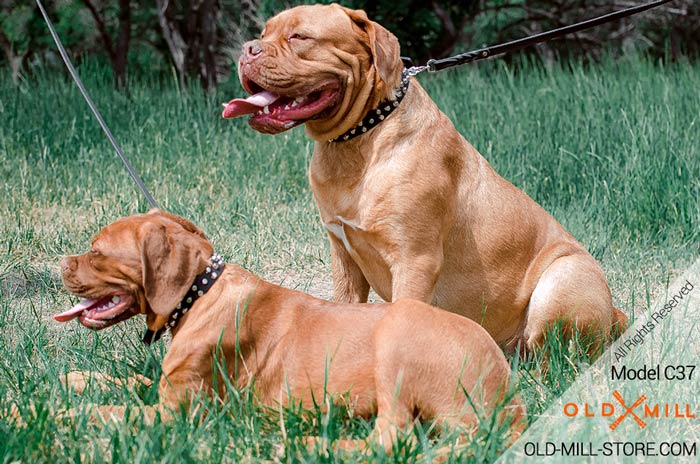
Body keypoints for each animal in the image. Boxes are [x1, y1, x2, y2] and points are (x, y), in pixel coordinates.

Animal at [56, 212, 524, 452]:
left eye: (96, 253)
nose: (61, 264)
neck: (200, 292)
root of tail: (507, 399)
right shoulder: (167, 387)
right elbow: (128, 382)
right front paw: (76, 379)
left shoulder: (177, 414)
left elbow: (109, 411)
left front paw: (54, 413)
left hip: (397, 331)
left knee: (391, 438)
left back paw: (306, 444)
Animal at [221, 4, 628, 352]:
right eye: (264, 33)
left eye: (300, 36)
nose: (247, 49)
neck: (359, 139)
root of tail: (614, 313)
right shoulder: (345, 259)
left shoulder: (414, 260)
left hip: (562, 278)